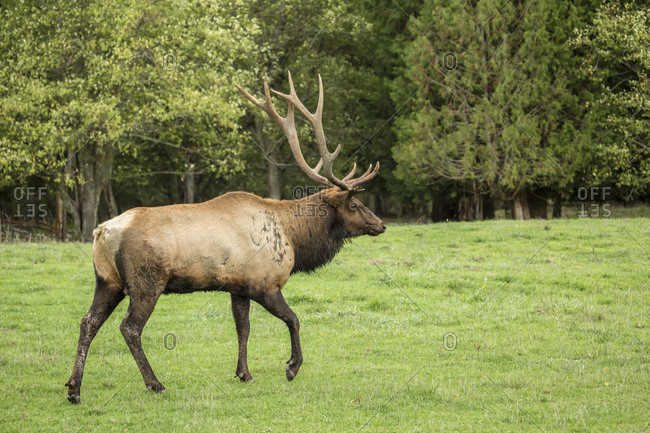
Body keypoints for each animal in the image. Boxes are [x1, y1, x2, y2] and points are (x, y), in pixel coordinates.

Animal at [65, 72, 385, 404]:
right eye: (354, 204)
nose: (381, 224)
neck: (295, 238)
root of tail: (102, 232)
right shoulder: (264, 283)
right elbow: (293, 319)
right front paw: (292, 366)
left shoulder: (239, 287)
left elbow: (243, 329)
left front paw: (244, 373)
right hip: (147, 282)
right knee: (129, 328)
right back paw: (154, 383)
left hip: (107, 280)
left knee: (88, 322)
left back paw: (74, 389)